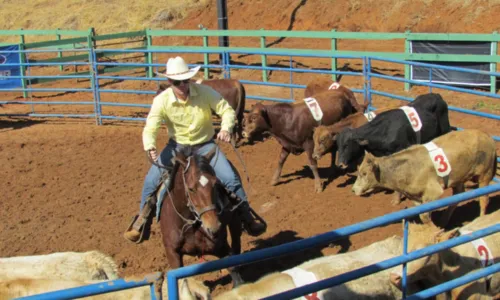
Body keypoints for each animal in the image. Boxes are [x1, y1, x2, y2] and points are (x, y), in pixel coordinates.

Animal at [158, 150, 244, 286]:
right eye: (191, 188)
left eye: (215, 184)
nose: (213, 227)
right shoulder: (172, 254)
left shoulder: (221, 246)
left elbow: (234, 270)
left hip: (234, 220)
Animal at [352, 129, 496, 227]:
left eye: (364, 173)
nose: (353, 190)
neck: (405, 168)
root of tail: (487, 137)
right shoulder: (415, 197)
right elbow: (423, 215)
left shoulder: (433, 192)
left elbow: (425, 215)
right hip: (459, 179)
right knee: (457, 198)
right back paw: (444, 221)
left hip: (485, 175)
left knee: (484, 199)